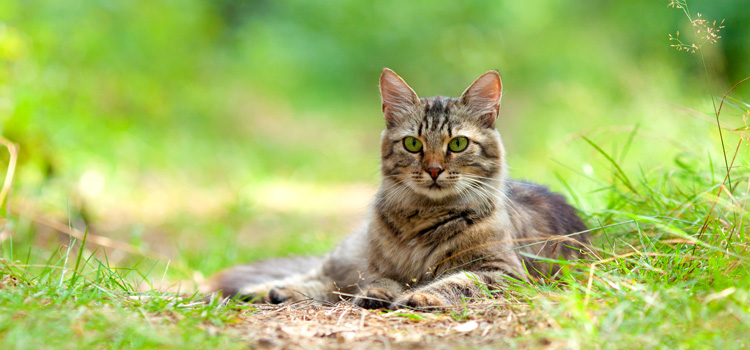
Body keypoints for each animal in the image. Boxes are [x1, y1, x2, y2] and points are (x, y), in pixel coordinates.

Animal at [203, 68, 592, 308]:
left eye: (458, 144)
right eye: (413, 144)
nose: (433, 170)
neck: (423, 218)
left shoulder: (503, 271)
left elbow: (457, 280)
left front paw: (422, 297)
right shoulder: (378, 267)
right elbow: (382, 282)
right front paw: (380, 294)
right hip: (349, 255)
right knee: (322, 276)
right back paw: (267, 291)